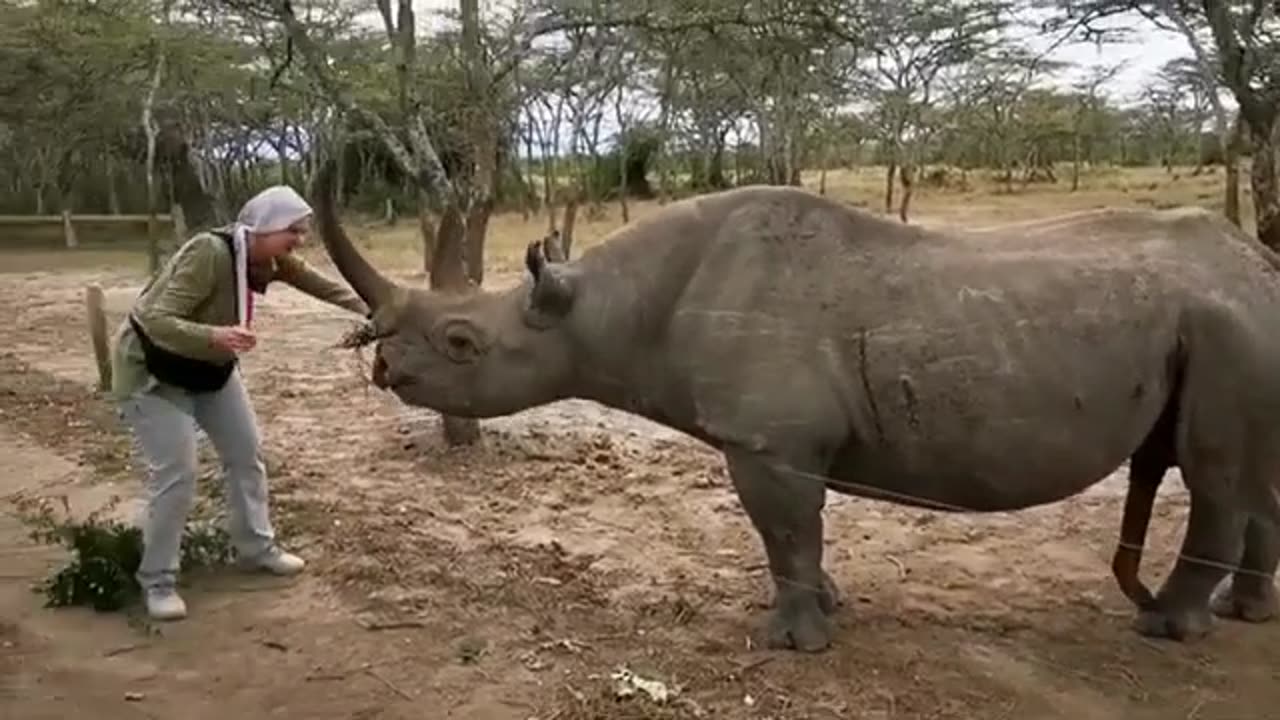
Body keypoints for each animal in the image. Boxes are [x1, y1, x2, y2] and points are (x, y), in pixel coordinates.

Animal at [312, 161, 1280, 653]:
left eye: (462, 344)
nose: (384, 366)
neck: (603, 307)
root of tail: (1258, 264)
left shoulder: (766, 441)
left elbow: (783, 533)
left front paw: (791, 644)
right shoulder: (782, 443)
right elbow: (798, 537)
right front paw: (830, 609)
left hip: (1226, 326)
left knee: (1216, 472)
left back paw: (1167, 627)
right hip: (1233, 322)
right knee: (1252, 465)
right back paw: (1243, 615)